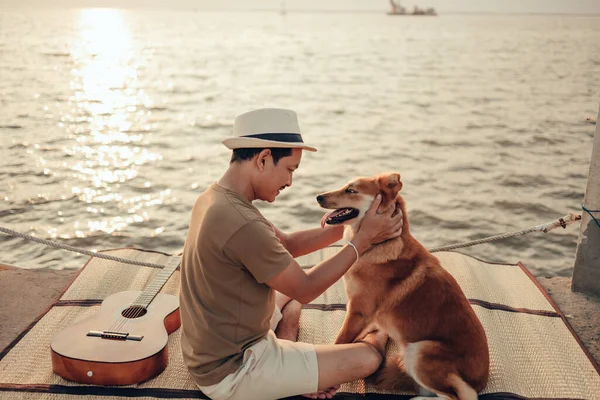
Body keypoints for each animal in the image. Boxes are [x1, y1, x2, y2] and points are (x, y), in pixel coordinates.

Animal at [316, 173, 490, 400]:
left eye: (351, 190)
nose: (318, 197)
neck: (379, 244)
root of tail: (481, 381)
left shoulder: (358, 310)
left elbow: (340, 341)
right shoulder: (365, 315)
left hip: (420, 351)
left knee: (453, 397)